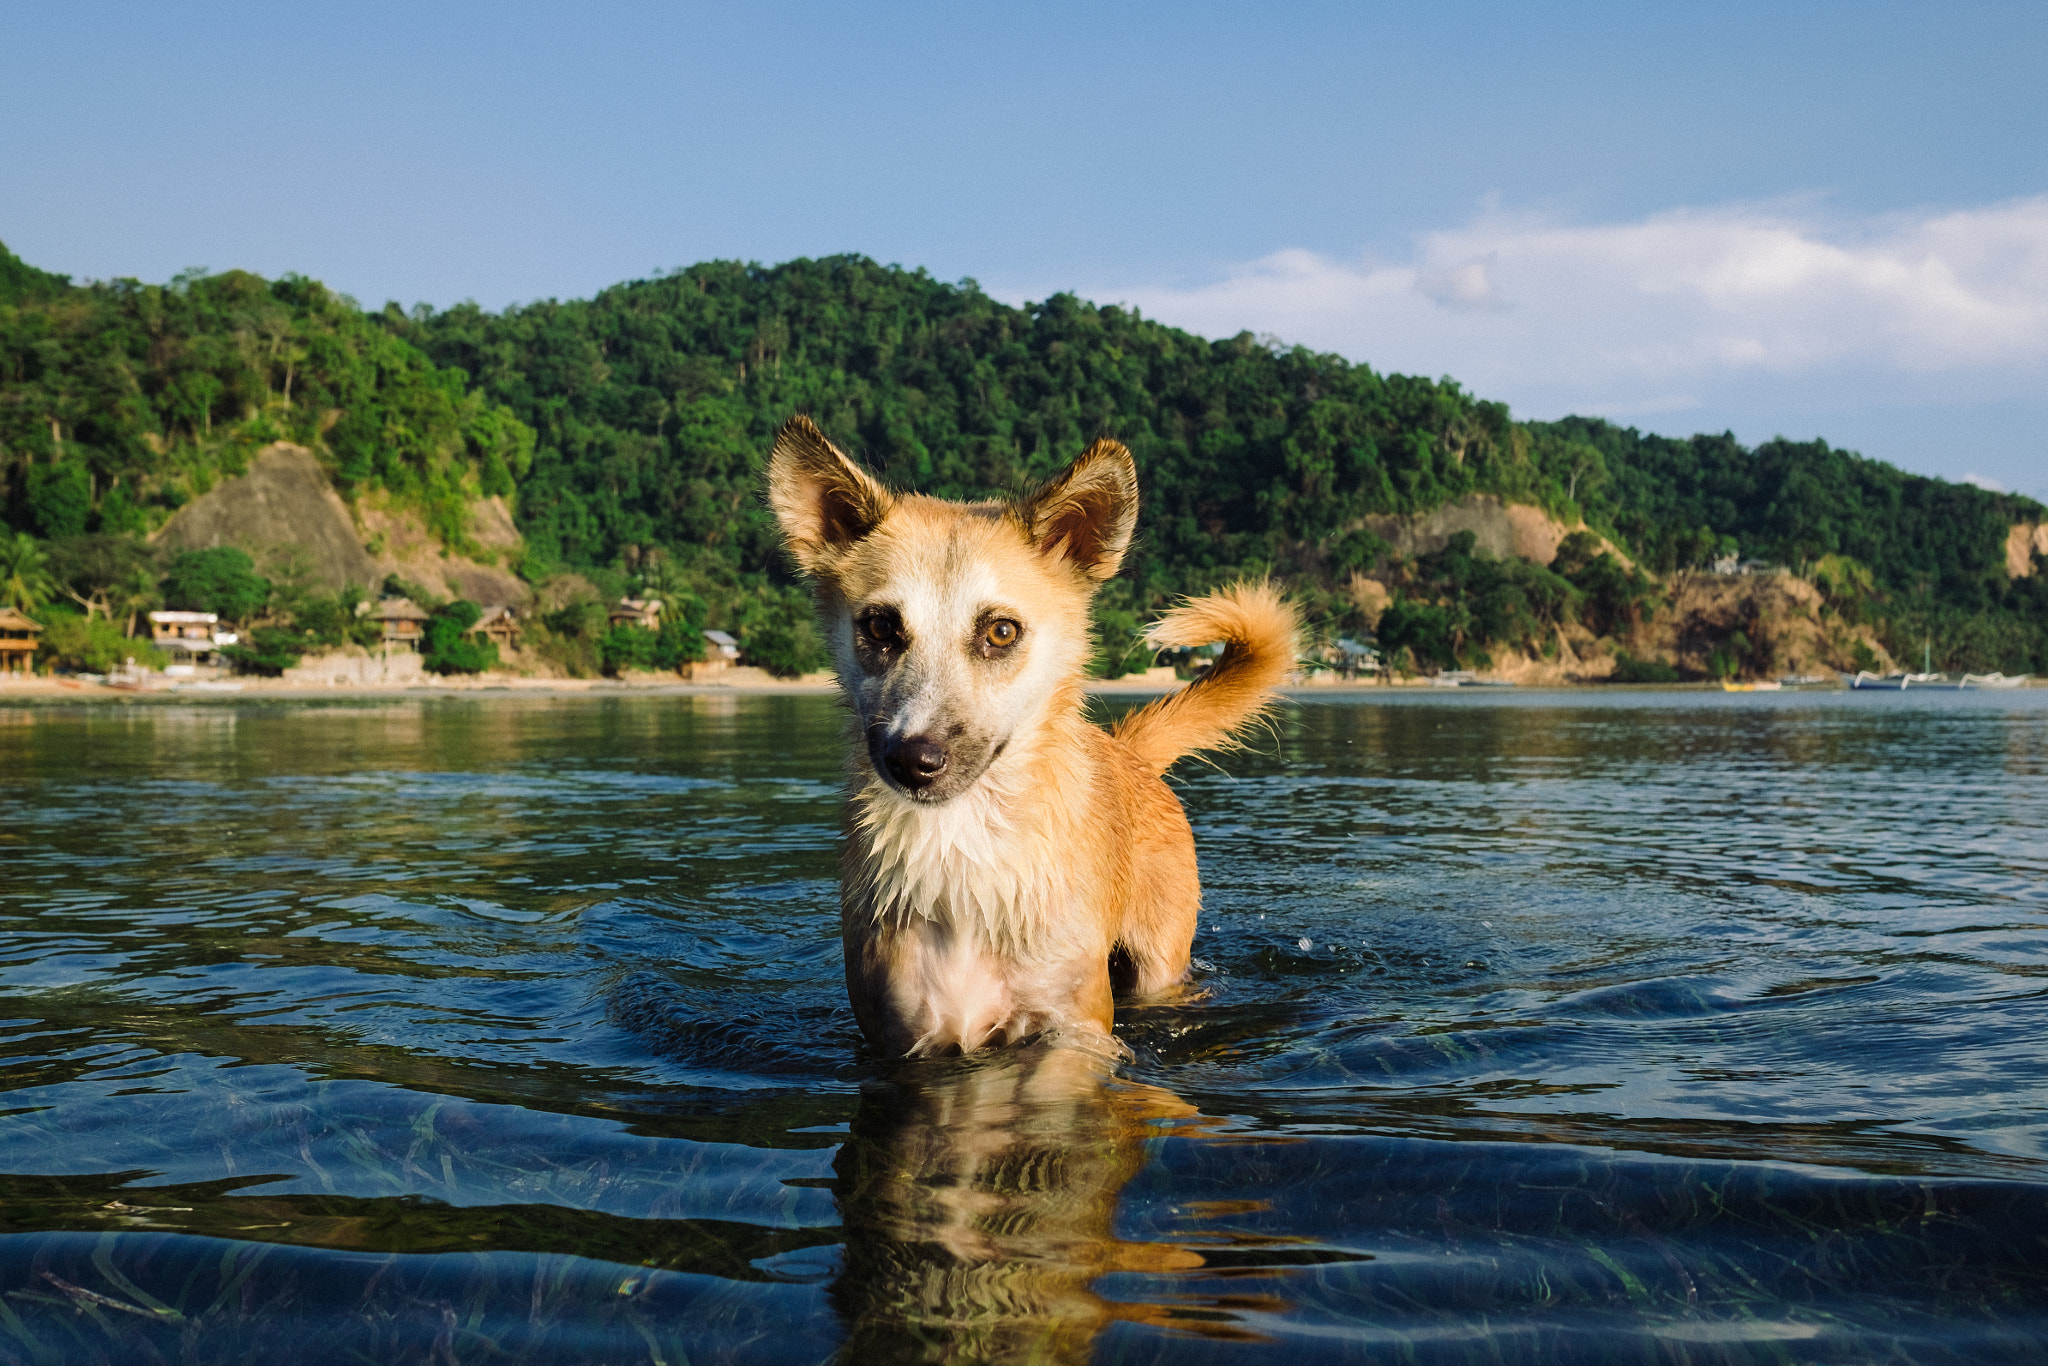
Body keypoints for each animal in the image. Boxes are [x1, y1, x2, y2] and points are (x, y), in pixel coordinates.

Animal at [770, 417, 1294, 1056]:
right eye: (881, 626)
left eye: (1001, 631)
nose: (913, 759)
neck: (963, 851)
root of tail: (1126, 748)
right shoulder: (900, 1035)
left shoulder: (1073, 1028)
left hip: (1158, 962)